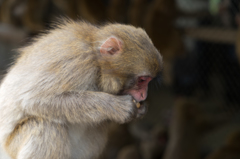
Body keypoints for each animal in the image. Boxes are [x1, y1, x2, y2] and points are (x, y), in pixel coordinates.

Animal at [0, 19, 163, 159]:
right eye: (142, 80)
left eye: (148, 81)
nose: (143, 95)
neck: (96, 61)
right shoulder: (77, 62)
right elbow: (36, 100)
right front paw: (118, 107)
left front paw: (141, 108)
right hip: (11, 147)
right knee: (46, 126)